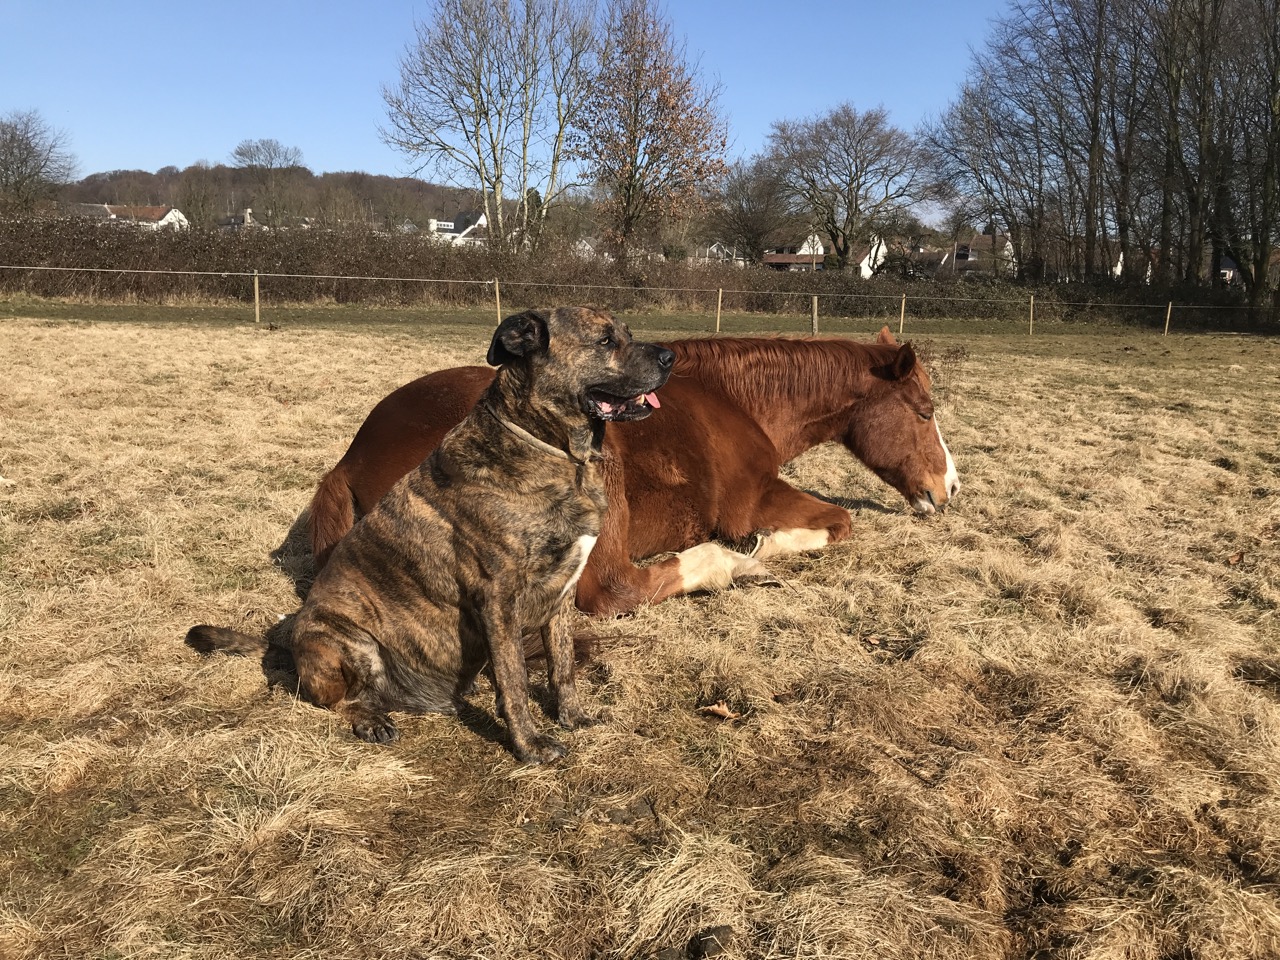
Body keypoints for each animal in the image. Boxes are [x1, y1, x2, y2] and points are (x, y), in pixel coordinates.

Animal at [188, 308, 675, 768]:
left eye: (628, 333)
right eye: (605, 341)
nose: (670, 356)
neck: (553, 452)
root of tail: (288, 647)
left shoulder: (562, 593)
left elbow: (563, 666)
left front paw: (572, 717)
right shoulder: (499, 597)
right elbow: (516, 680)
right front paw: (530, 745)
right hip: (346, 640)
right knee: (336, 699)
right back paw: (371, 720)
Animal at [304, 330, 957, 616]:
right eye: (925, 412)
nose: (948, 488)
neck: (734, 398)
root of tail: (352, 458)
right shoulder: (756, 497)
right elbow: (839, 521)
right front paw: (763, 549)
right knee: (612, 589)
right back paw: (721, 565)